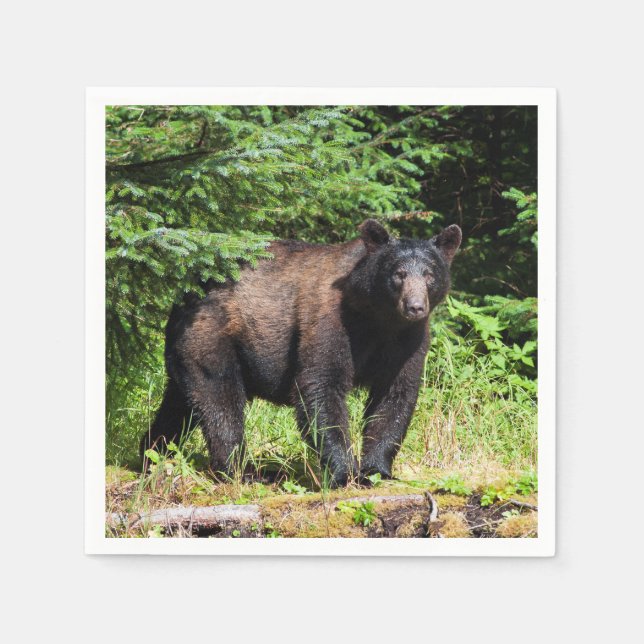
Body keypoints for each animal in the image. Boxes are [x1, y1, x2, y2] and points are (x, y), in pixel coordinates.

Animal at [142, 219, 462, 487]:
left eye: (429, 274)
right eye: (398, 274)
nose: (415, 306)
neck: (378, 318)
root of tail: (184, 296)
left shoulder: (408, 340)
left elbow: (394, 396)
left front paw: (376, 470)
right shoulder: (331, 320)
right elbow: (321, 385)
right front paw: (344, 473)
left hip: (188, 352)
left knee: (180, 404)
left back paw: (152, 451)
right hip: (212, 337)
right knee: (220, 401)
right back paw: (244, 471)